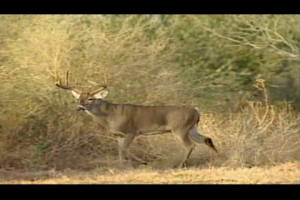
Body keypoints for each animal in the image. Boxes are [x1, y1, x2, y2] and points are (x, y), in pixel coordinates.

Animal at [55, 71, 217, 168]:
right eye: (79, 98)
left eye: (90, 98)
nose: (79, 107)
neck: (109, 116)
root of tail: (196, 111)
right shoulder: (119, 135)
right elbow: (120, 151)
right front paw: (122, 166)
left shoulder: (131, 131)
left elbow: (125, 150)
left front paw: (134, 164)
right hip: (191, 128)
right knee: (206, 138)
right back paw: (216, 157)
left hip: (180, 129)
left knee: (190, 145)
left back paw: (179, 166)